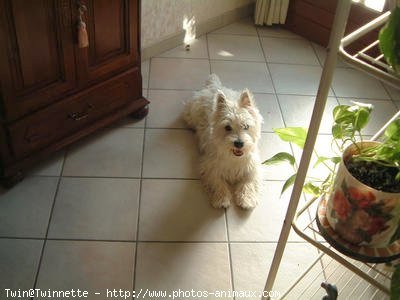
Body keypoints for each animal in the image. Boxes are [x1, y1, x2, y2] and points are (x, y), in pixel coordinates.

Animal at [183, 74, 264, 209]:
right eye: (227, 127)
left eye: (246, 126)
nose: (239, 143)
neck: (233, 157)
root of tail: (214, 85)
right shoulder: (211, 166)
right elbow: (217, 182)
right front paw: (222, 199)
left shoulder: (252, 167)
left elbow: (248, 182)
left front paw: (246, 200)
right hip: (192, 113)